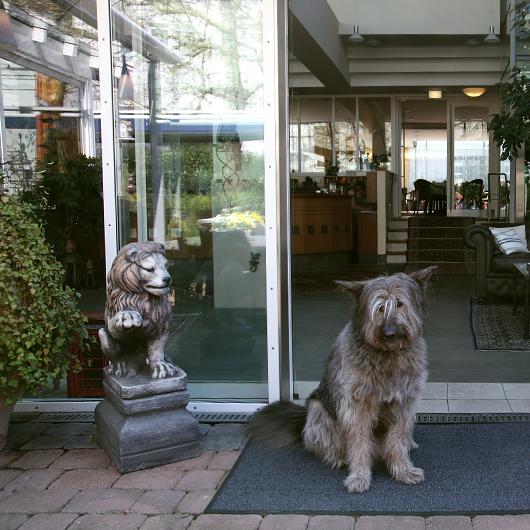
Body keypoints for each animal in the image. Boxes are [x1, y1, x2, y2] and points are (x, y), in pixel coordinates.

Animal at [250, 266, 436, 492]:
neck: (387, 356)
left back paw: (410, 444)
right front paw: (359, 476)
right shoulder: (357, 406)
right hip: (318, 410)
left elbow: (398, 439)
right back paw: (337, 458)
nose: (390, 333)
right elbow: (359, 442)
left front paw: (403, 470)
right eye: (378, 308)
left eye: (400, 304)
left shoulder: (404, 404)